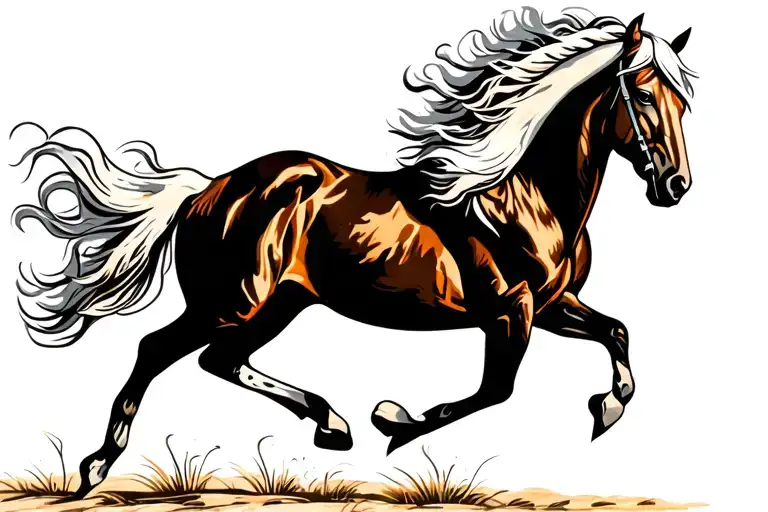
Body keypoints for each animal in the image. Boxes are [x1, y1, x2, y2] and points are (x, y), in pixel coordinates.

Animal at [10, 8, 696, 500]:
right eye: (642, 94)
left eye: (684, 100)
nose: (675, 186)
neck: (523, 198)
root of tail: (208, 189)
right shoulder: (510, 312)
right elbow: (493, 390)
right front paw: (394, 421)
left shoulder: (555, 304)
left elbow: (616, 332)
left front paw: (608, 408)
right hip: (232, 302)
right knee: (161, 350)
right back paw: (97, 466)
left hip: (275, 305)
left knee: (218, 360)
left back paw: (329, 424)